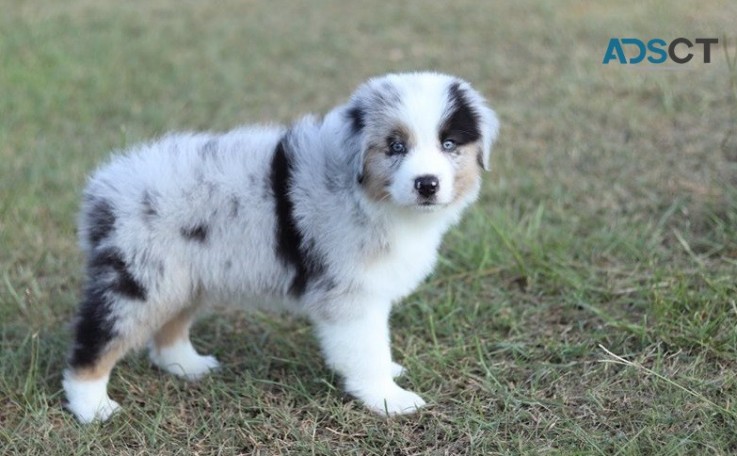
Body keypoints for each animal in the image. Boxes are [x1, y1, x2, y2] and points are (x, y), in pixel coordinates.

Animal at [63, 72, 500, 424]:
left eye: (449, 144)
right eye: (395, 146)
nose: (427, 184)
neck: (363, 191)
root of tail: (104, 187)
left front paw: (389, 377)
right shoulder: (350, 295)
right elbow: (367, 348)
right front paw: (389, 400)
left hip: (184, 276)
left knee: (169, 326)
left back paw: (187, 365)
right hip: (140, 279)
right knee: (95, 340)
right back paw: (92, 408)